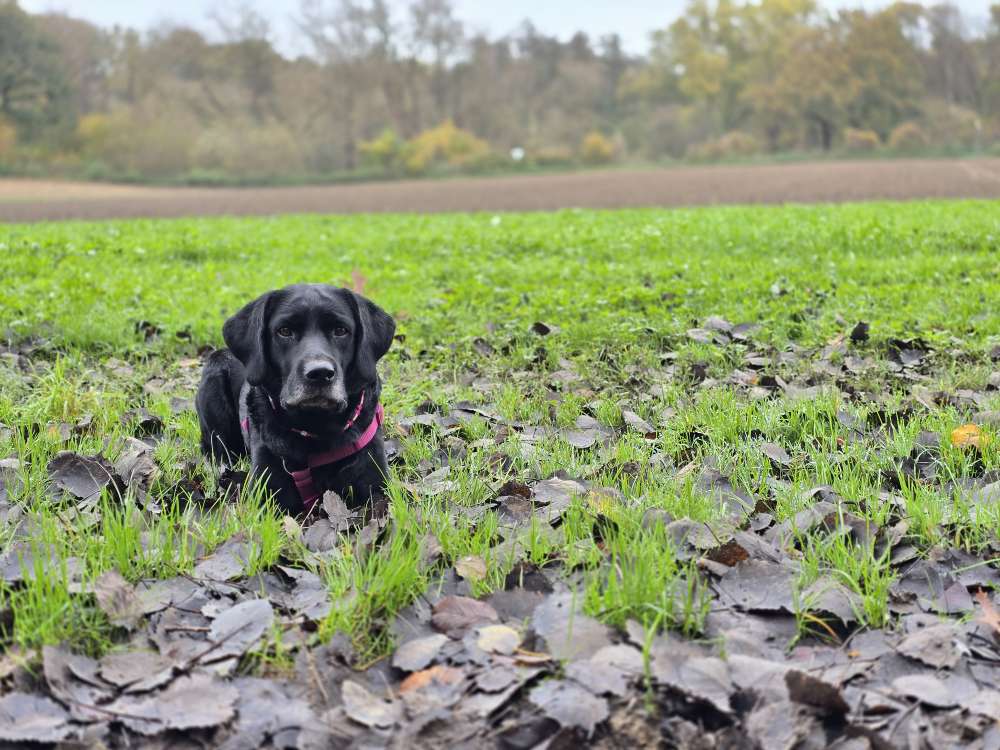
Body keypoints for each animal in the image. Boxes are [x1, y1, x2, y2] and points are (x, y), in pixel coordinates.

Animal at [195, 284, 394, 516]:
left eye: (340, 330)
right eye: (284, 331)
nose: (320, 373)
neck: (315, 428)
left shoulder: (377, 486)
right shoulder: (267, 497)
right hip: (214, 377)